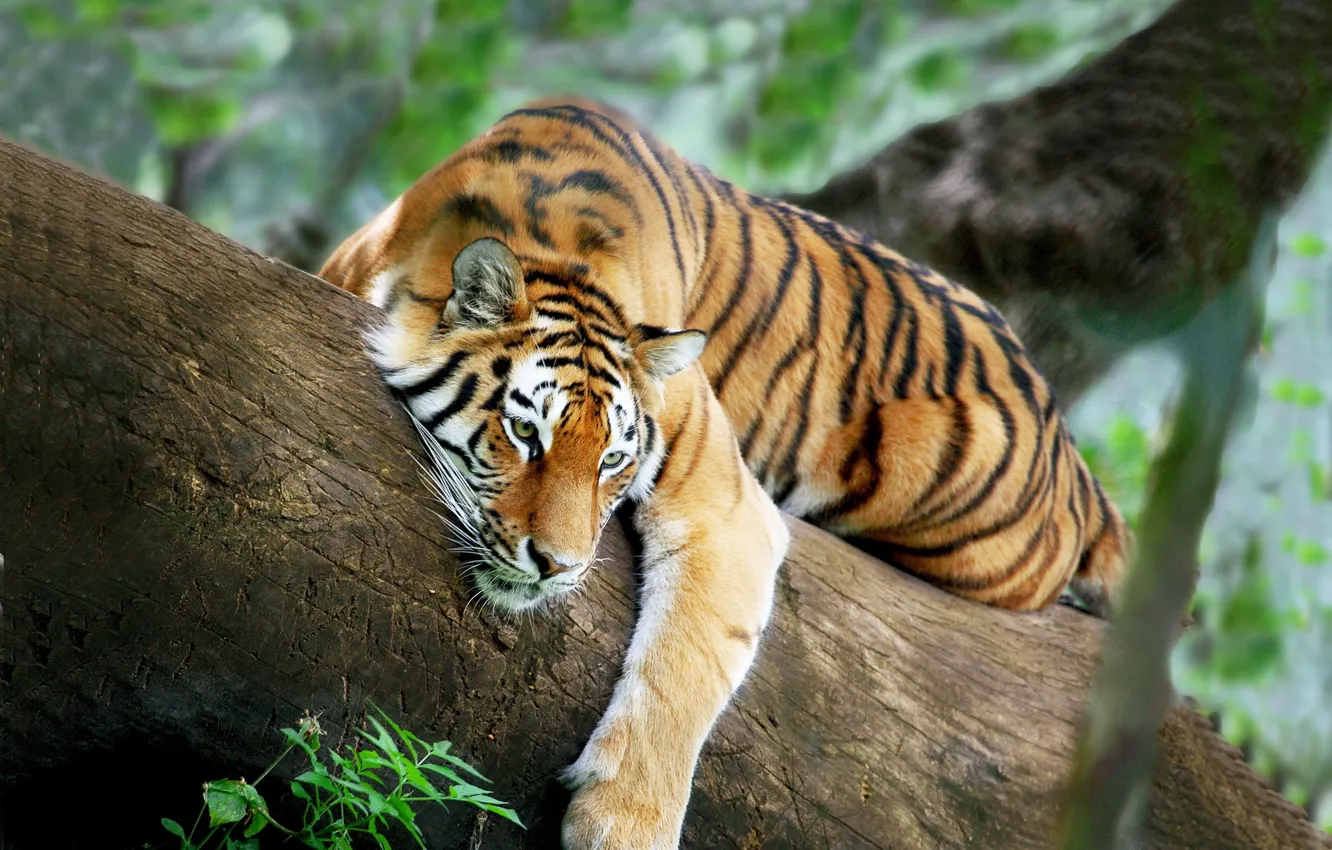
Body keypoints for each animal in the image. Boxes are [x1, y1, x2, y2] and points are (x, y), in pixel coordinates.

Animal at [318, 96, 1132, 849]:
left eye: (612, 460)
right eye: (525, 434)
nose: (559, 567)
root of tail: (1069, 447)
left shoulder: (727, 506)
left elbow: (685, 666)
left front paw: (623, 825)